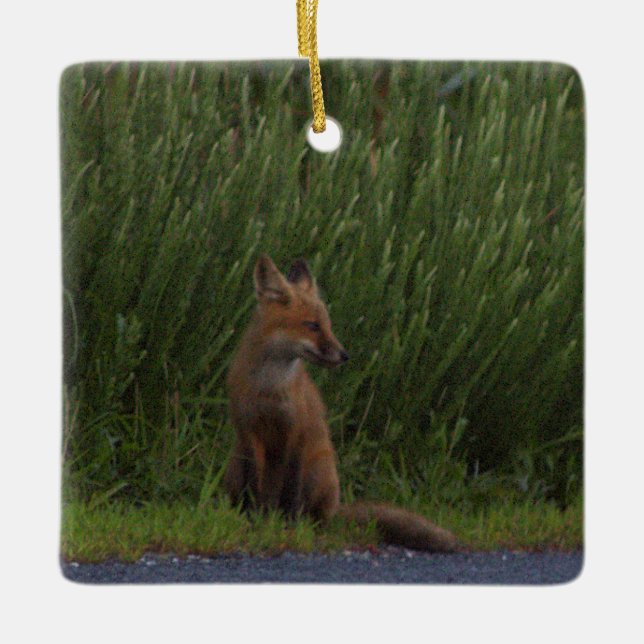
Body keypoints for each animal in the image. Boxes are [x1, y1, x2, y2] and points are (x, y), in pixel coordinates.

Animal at [224, 254, 459, 552]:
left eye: (328, 325)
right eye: (312, 326)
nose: (344, 355)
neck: (269, 388)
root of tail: (336, 509)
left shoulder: (297, 432)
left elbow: (290, 490)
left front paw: (289, 526)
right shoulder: (249, 432)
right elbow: (255, 486)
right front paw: (255, 520)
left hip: (320, 467)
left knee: (317, 515)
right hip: (233, 466)